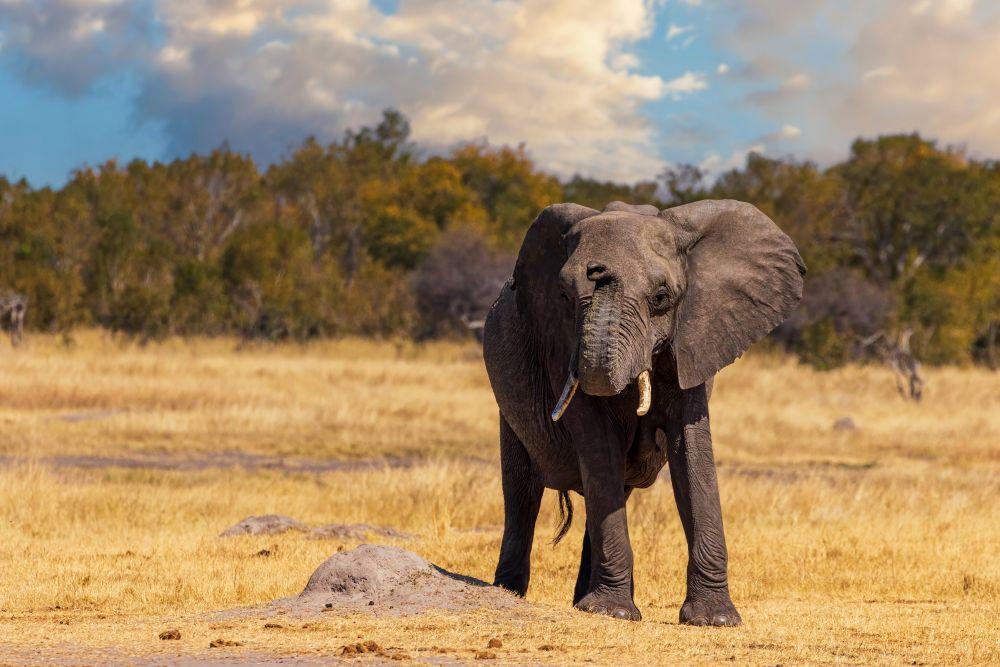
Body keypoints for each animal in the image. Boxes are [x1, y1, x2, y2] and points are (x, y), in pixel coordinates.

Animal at [482, 199, 805, 624]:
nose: (599, 271)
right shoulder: (563, 345)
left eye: (662, 297)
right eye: (564, 295)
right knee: (522, 489)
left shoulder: (694, 342)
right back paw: (511, 593)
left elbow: (693, 452)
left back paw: (584, 601)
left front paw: (714, 620)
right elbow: (598, 444)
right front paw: (614, 613)